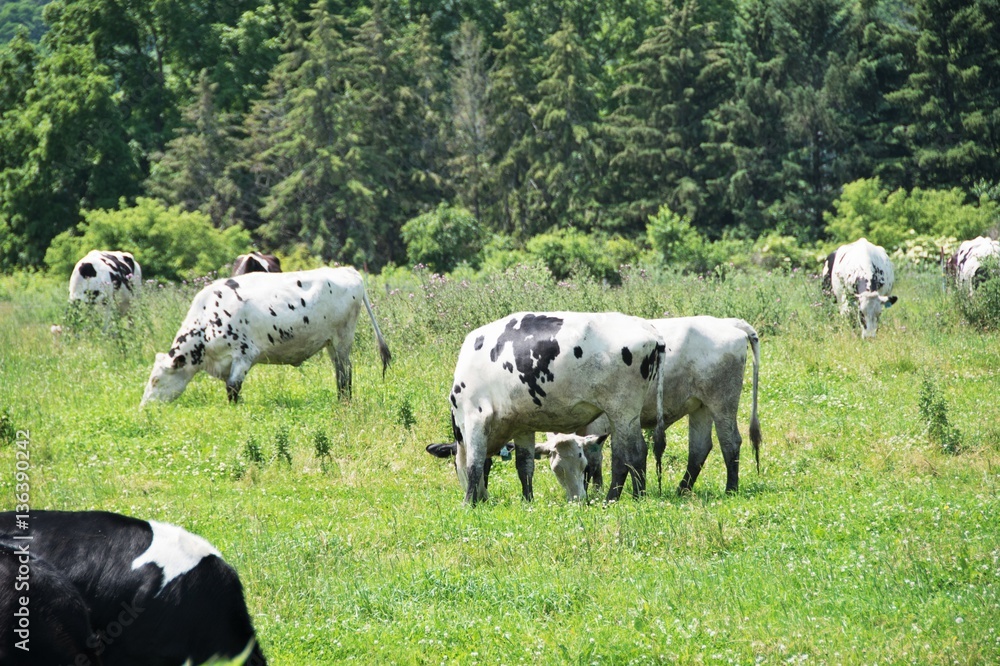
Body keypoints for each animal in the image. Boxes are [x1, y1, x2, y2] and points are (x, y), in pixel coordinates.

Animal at [141, 267, 391, 406]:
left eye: (156, 380)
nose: (144, 408)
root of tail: (348, 270)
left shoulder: (243, 356)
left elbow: (232, 388)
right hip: (330, 342)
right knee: (340, 372)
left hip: (342, 338)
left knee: (345, 372)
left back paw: (344, 402)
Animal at [448, 311, 665, 504]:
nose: (482, 499)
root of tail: (650, 330)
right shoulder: (522, 426)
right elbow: (524, 466)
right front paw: (528, 501)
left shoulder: (475, 417)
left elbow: (474, 465)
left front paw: (467, 504)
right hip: (620, 415)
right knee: (626, 454)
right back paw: (632, 496)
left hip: (622, 410)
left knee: (632, 453)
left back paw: (620, 498)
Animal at [580, 316, 762, 496]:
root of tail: (729, 322)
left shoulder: (601, 423)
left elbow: (597, 459)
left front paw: (596, 492)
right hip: (701, 407)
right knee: (700, 447)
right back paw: (682, 490)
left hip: (722, 404)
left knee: (730, 441)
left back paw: (730, 489)